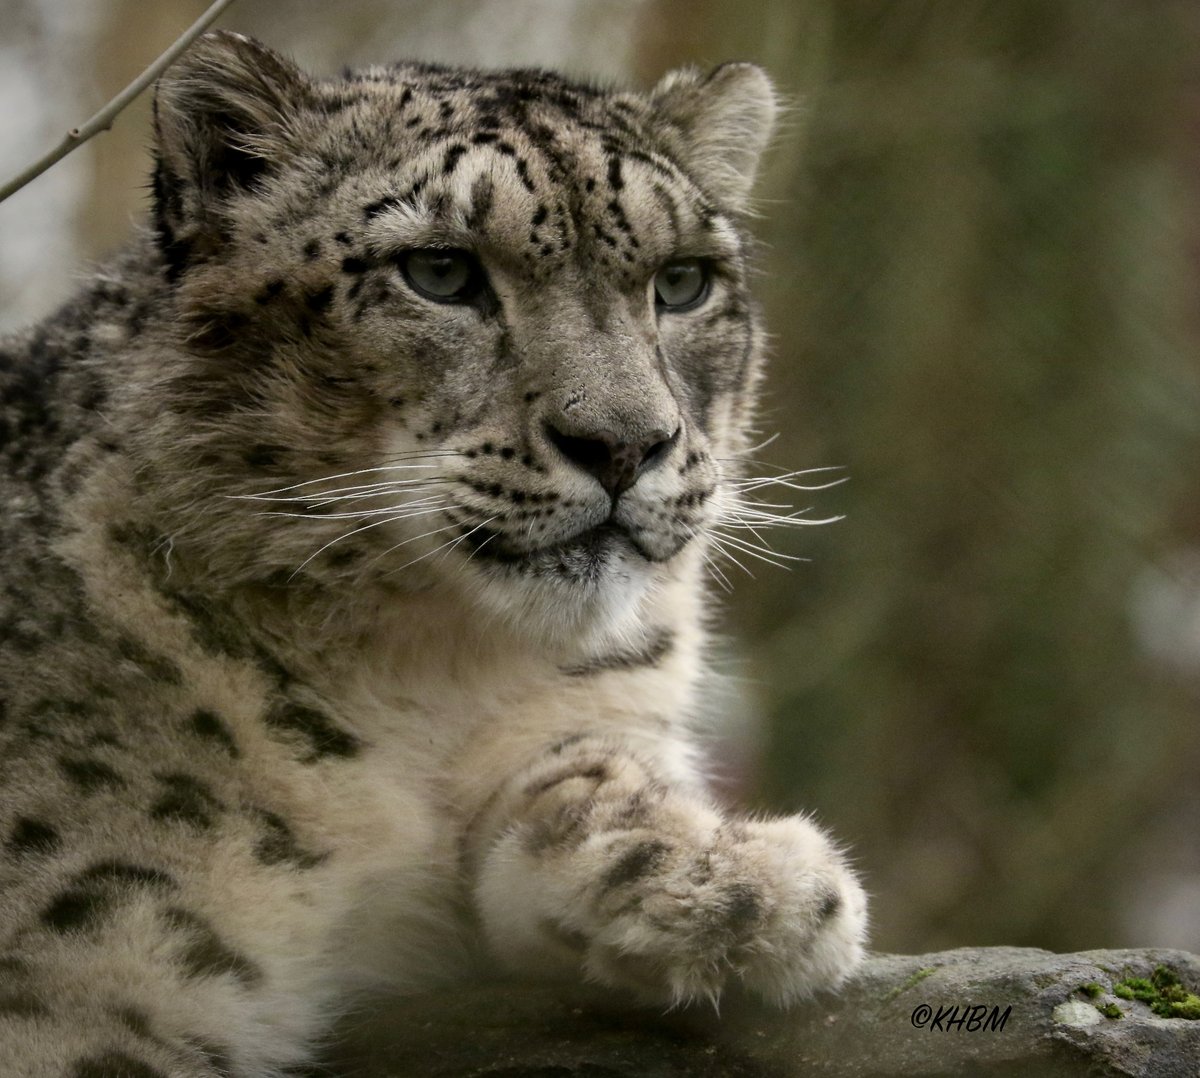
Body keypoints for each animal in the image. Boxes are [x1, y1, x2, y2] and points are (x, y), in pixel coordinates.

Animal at [0, 31, 867, 1077]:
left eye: (684, 282)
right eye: (442, 272)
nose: (625, 444)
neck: (434, 675)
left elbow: (586, 768)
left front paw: (728, 882)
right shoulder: (84, 984)